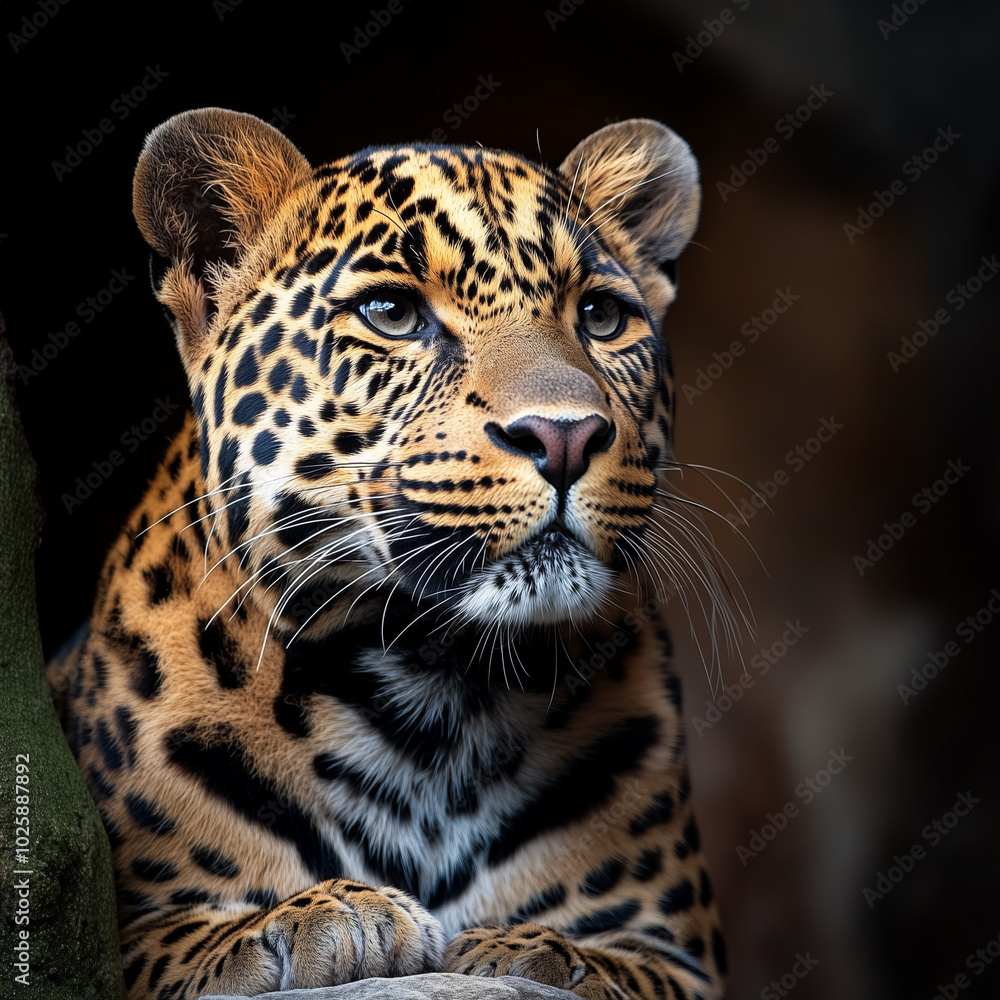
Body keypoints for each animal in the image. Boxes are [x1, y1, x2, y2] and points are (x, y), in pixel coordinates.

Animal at [46, 107, 728, 999]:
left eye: (602, 318)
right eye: (392, 313)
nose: (566, 437)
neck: (430, 698)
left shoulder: (681, 953)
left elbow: (618, 963)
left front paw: (537, 949)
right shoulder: (127, 931)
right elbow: (180, 941)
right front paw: (320, 917)